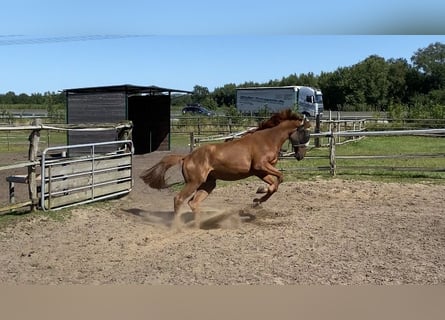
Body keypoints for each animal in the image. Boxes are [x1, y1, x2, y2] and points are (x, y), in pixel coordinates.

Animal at [139, 109, 308, 229]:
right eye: (304, 132)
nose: (301, 155)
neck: (267, 139)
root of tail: (186, 157)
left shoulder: (260, 171)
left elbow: (275, 184)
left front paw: (257, 199)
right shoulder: (260, 166)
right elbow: (279, 178)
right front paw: (258, 197)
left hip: (208, 184)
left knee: (193, 203)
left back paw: (200, 225)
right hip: (194, 182)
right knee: (179, 199)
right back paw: (178, 227)